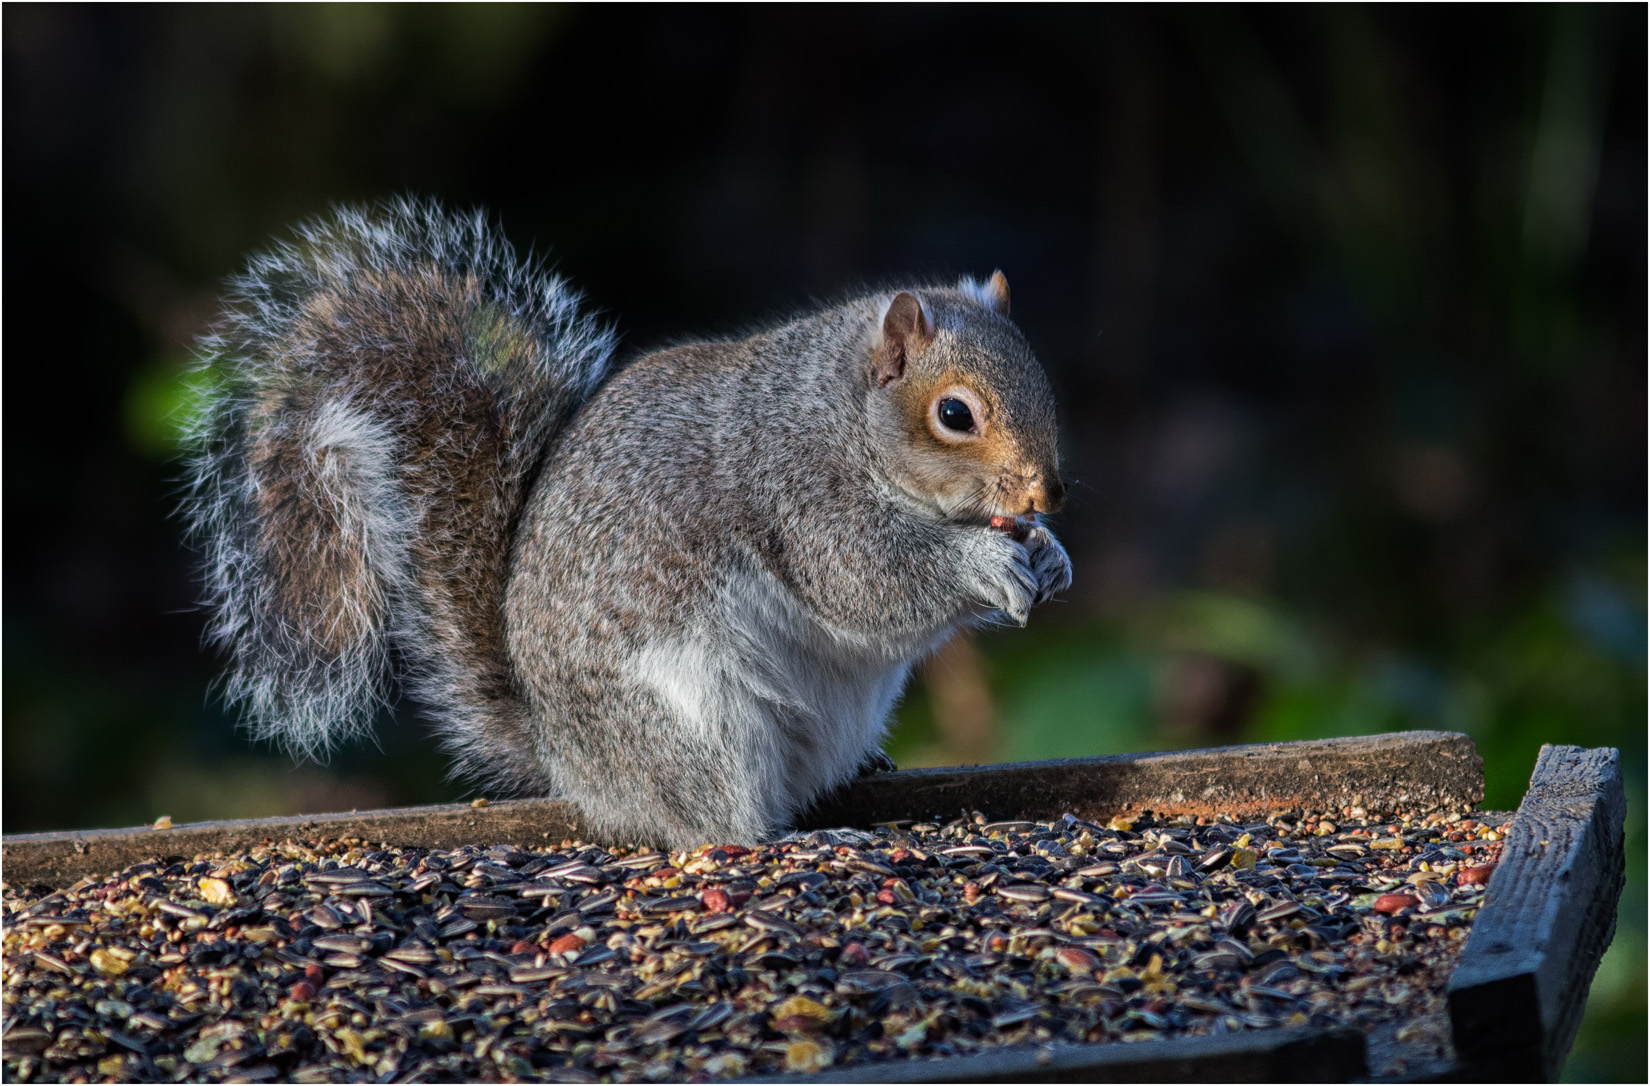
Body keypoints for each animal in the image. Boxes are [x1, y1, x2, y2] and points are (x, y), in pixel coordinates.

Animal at [182, 198, 1072, 850]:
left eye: (1042, 376)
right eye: (954, 414)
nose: (1047, 495)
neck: (841, 417)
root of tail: (571, 765)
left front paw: (1051, 557)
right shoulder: (799, 493)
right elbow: (869, 583)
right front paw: (984, 565)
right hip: (695, 726)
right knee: (714, 821)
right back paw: (790, 839)